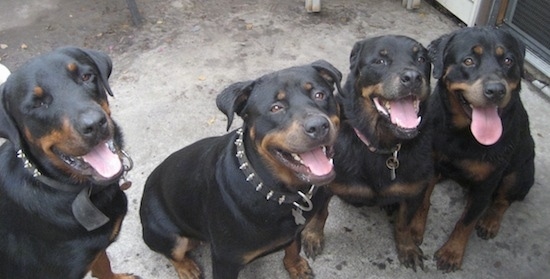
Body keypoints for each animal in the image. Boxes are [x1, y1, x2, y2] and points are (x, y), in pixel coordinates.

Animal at [140, 60, 342, 278]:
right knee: (174, 252)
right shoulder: (225, 260)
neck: (280, 190)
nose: (318, 126)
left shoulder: (296, 230)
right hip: (167, 234)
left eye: (320, 95)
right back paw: (186, 268)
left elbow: (293, 247)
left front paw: (295, 265)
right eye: (276, 108)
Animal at [304, 35, 434, 272]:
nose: (413, 77)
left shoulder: (415, 191)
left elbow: (404, 223)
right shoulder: (325, 184)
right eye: (379, 61)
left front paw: (407, 247)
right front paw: (312, 235)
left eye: (421, 59)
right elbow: (320, 212)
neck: (380, 144)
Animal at [426, 26, 536, 274]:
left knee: (503, 200)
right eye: (468, 61)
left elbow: (466, 221)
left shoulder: (488, 181)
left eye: (508, 60)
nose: (496, 90)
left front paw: (452, 252)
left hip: (520, 172)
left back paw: (490, 220)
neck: (463, 135)